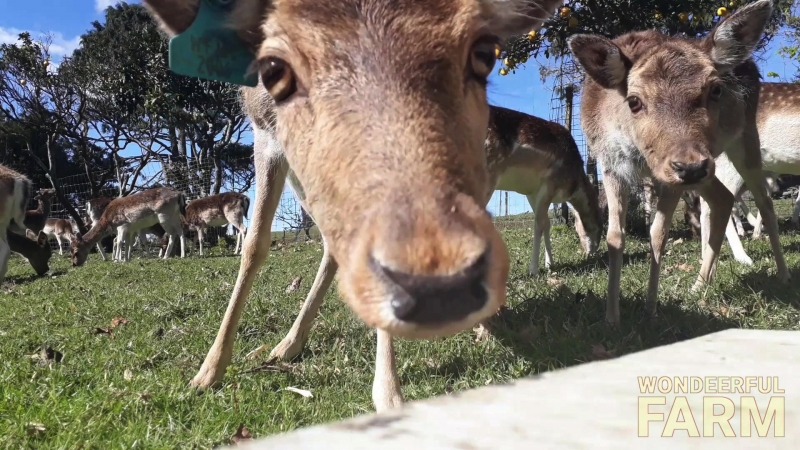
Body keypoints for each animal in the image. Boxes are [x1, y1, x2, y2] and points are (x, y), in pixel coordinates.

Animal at [142, 0, 561, 412]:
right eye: (274, 68)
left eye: (484, 54)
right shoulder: (266, 132)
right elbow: (255, 245)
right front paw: (207, 372)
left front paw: (389, 392)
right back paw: (287, 346)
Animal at [568, 0, 789, 326]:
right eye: (634, 101)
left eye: (716, 89)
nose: (689, 167)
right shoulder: (610, 163)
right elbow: (615, 235)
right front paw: (611, 316)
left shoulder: (667, 175)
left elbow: (658, 234)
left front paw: (650, 308)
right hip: (708, 166)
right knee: (722, 198)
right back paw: (699, 285)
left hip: (742, 141)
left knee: (765, 203)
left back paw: (784, 275)